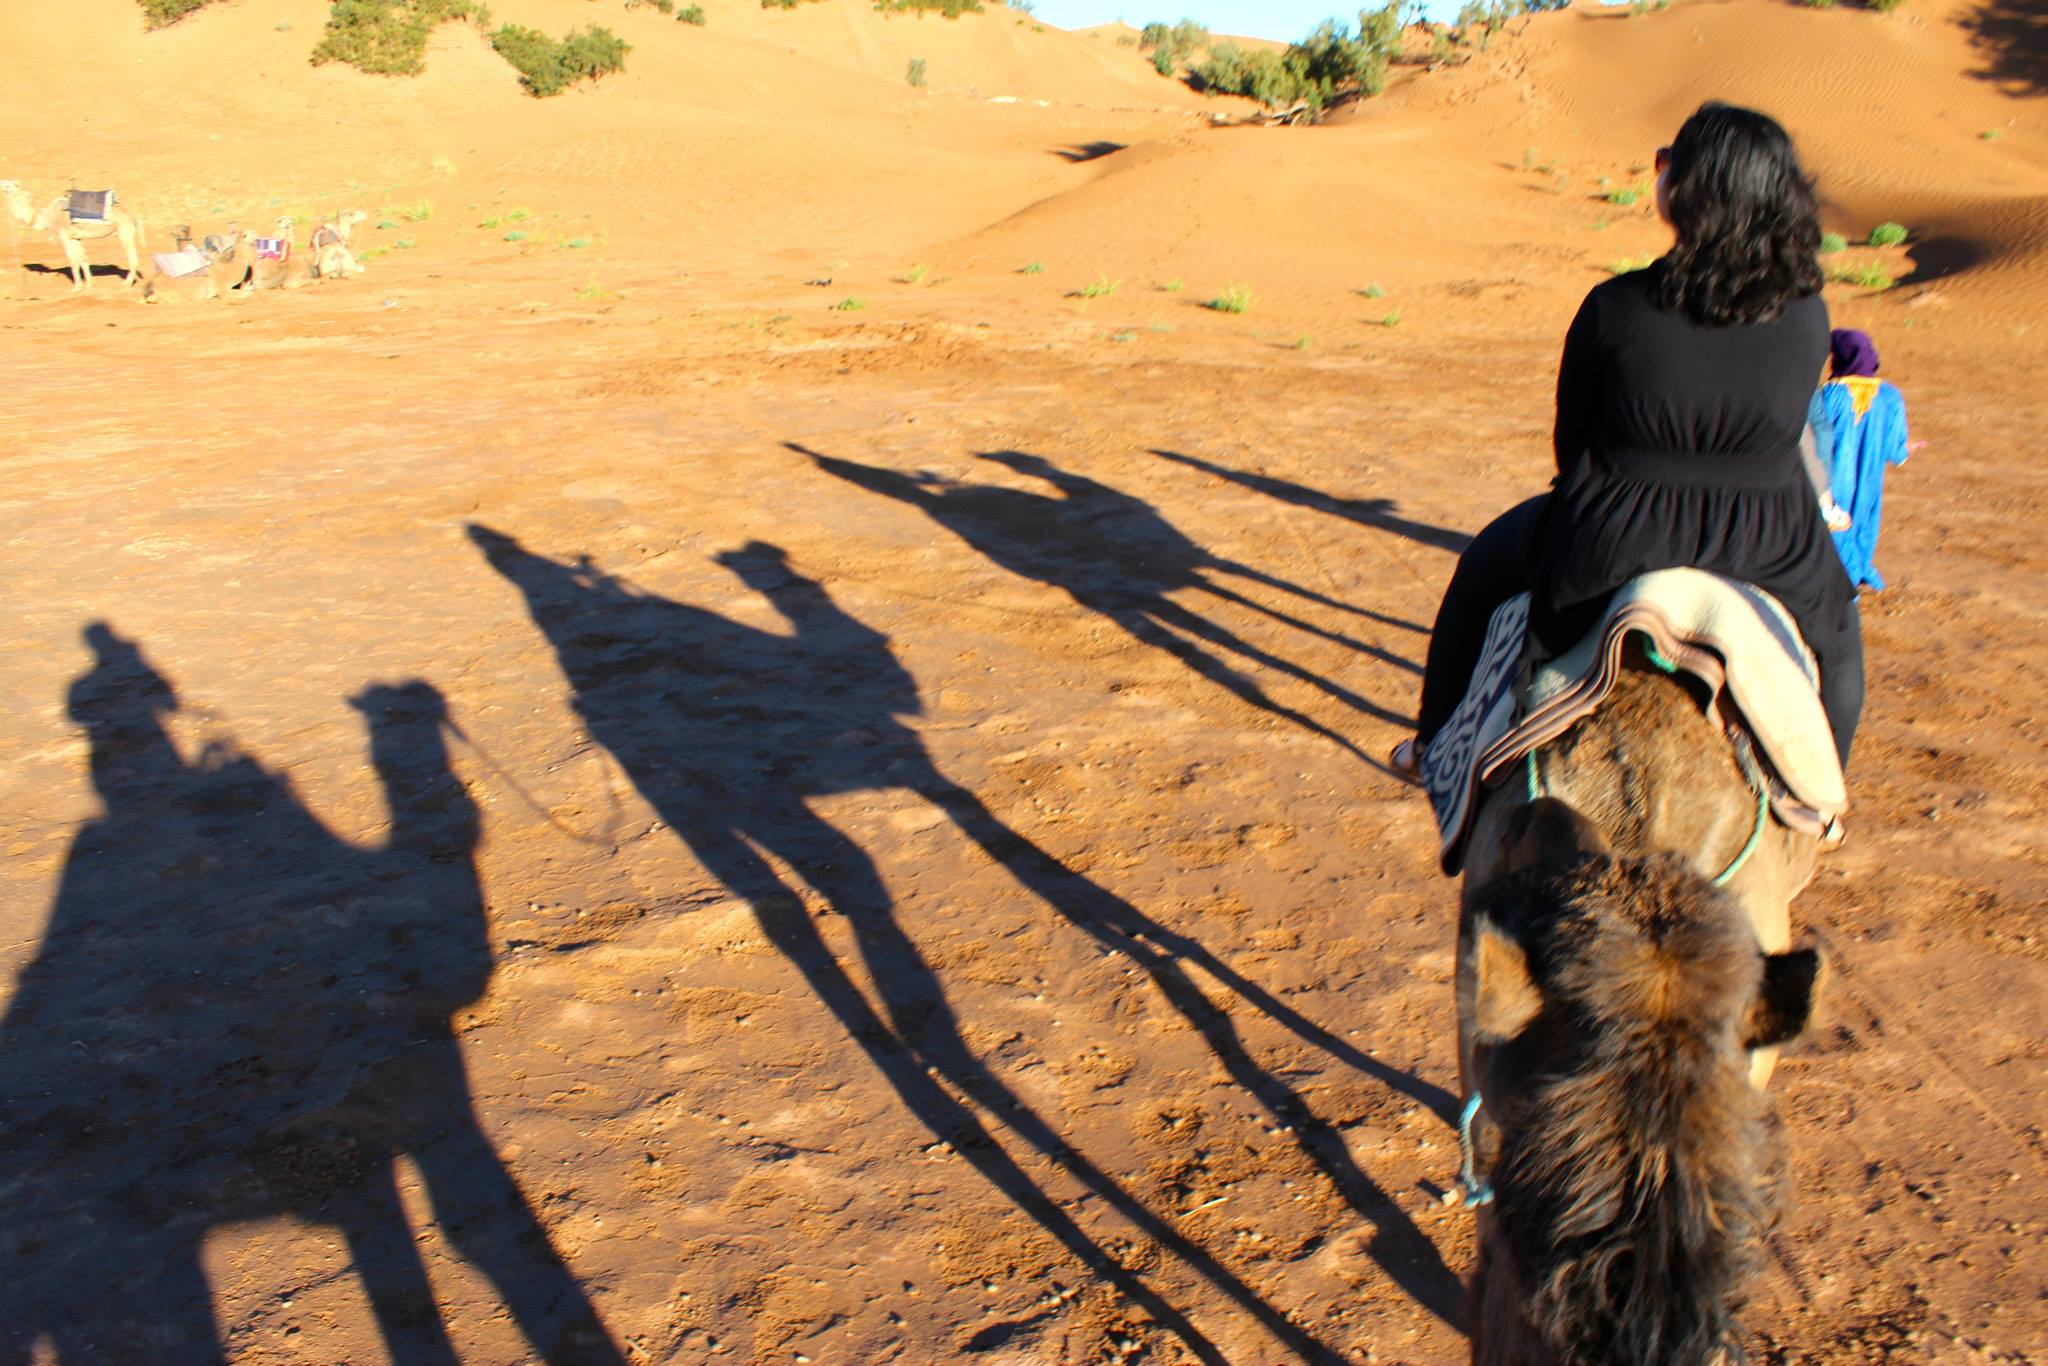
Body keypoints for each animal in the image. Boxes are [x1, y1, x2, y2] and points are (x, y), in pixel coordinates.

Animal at [0, 180, 145, 290]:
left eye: (12, 184)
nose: (2, 183)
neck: (48, 216)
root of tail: (132, 216)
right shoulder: (76, 237)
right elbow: (83, 258)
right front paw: (89, 284)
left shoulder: (65, 235)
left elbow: (72, 260)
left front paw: (76, 287)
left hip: (124, 230)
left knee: (132, 256)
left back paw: (127, 283)